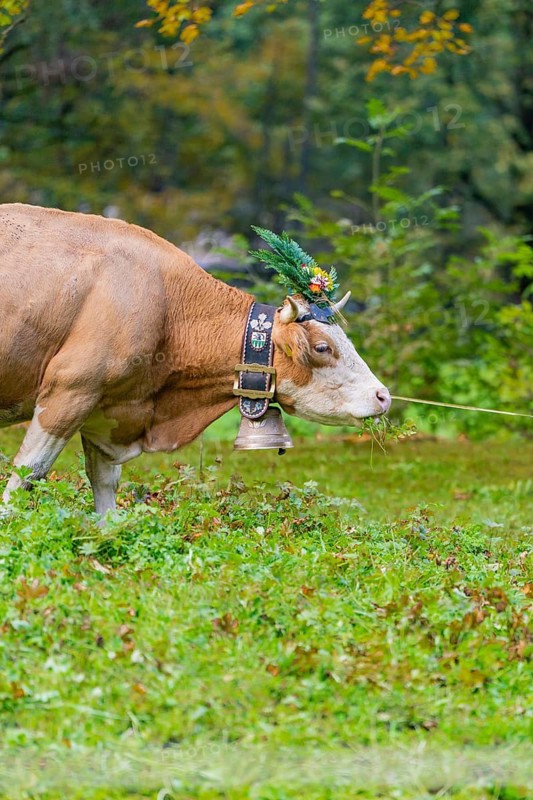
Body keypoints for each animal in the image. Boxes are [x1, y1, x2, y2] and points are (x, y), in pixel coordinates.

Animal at [0, 203, 391, 514]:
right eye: (323, 347)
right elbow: (28, 474)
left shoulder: (108, 410)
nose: (383, 395)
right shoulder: (70, 389)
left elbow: (105, 486)